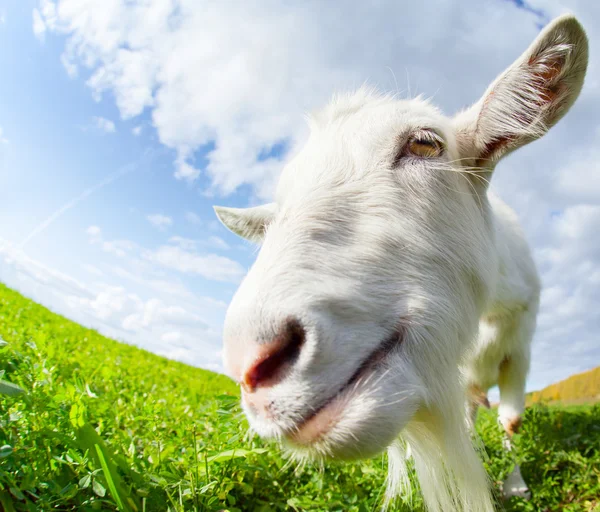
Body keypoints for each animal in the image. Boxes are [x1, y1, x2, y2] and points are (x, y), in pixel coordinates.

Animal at [214, 16, 584, 512]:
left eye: (426, 144)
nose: (251, 365)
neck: (487, 311)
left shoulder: (520, 350)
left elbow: (512, 422)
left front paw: (516, 484)